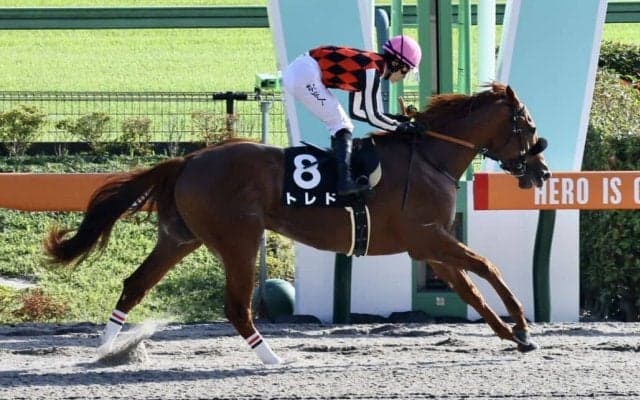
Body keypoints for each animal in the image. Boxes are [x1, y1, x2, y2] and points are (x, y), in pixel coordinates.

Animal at [44, 82, 550, 365]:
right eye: (526, 126)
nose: (542, 171)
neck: (430, 157)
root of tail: (188, 159)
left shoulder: (430, 246)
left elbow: (471, 290)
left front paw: (514, 336)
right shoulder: (427, 237)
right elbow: (488, 268)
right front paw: (524, 325)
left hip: (180, 237)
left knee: (135, 284)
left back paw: (104, 349)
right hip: (240, 239)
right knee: (236, 307)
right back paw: (271, 357)